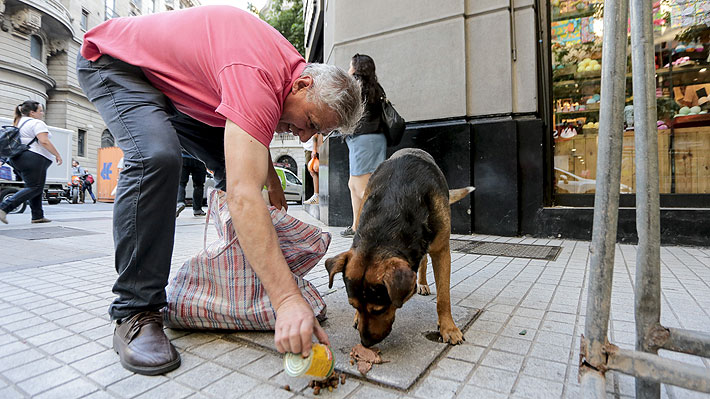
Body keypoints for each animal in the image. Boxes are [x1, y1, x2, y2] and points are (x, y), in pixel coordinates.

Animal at [326, 148, 472, 346]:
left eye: (379, 310)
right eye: (353, 305)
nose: (365, 343)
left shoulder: (442, 251)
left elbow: (443, 297)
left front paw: (448, 328)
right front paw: (356, 317)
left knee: (424, 261)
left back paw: (422, 284)